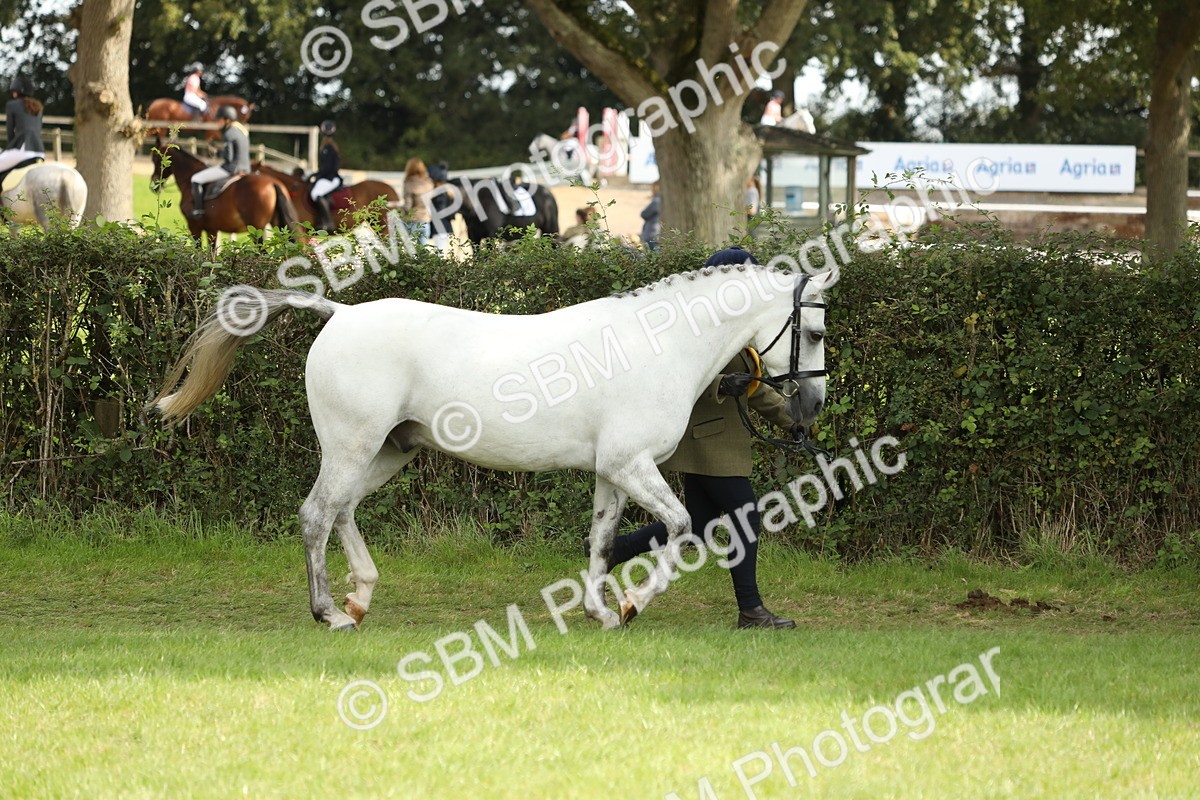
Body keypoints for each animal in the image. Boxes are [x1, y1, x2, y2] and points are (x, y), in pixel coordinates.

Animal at [150, 138, 300, 248]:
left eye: (156, 159)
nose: (153, 185)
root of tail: (272, 183)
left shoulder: (194, 226)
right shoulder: (212, 230)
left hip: (256, 229)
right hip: (279, 226)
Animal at [150, 262, 836, 631]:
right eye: (815, 331)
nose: (809, 409)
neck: (655, 344)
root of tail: (340, 314)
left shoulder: (612, 471)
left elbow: (602, 541)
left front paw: (599, 612)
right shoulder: (632, 465)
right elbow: (683, 526)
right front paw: (632, 603)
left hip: (386, 451)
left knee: (340, 510)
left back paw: (361, 594)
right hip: (352, 445)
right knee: (316, 515)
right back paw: (332, 613)